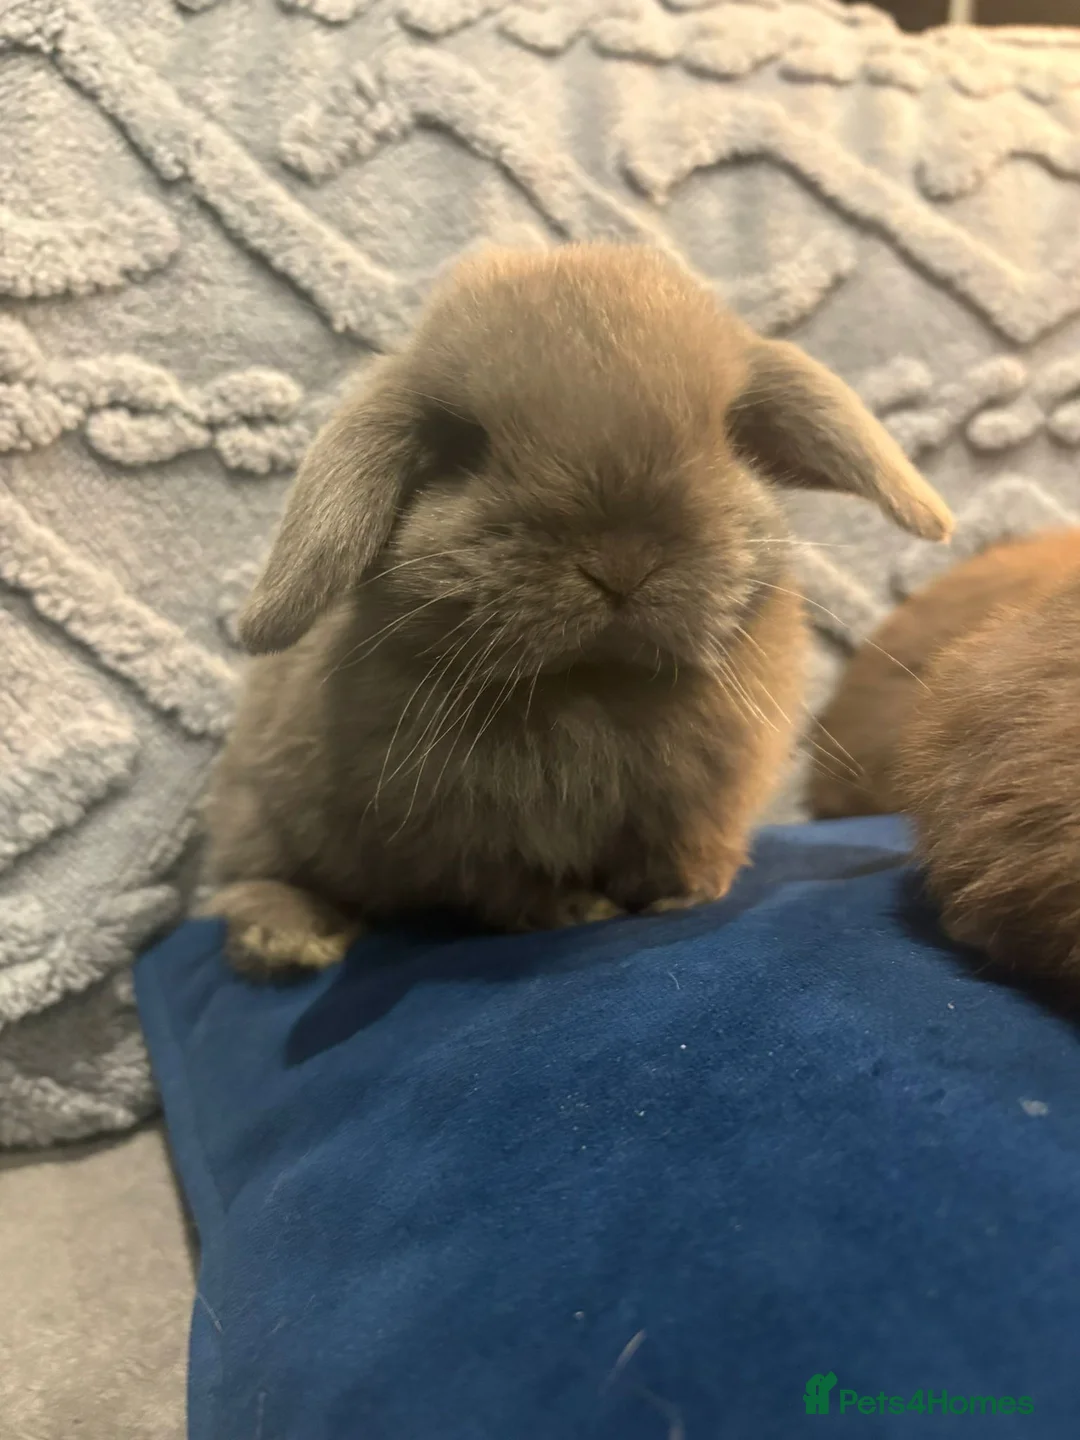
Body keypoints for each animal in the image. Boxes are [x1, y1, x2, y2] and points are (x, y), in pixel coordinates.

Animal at [201, 242, 952, 975]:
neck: (595, 681)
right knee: (248, 884)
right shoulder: (456, 835)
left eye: (732, 433)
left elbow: (686, 843)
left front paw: (684, 893)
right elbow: (506, 883)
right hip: (263, 822)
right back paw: (290, 940)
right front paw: (573, 911)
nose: (622, 563)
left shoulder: (703, 795)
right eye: (460, 446)